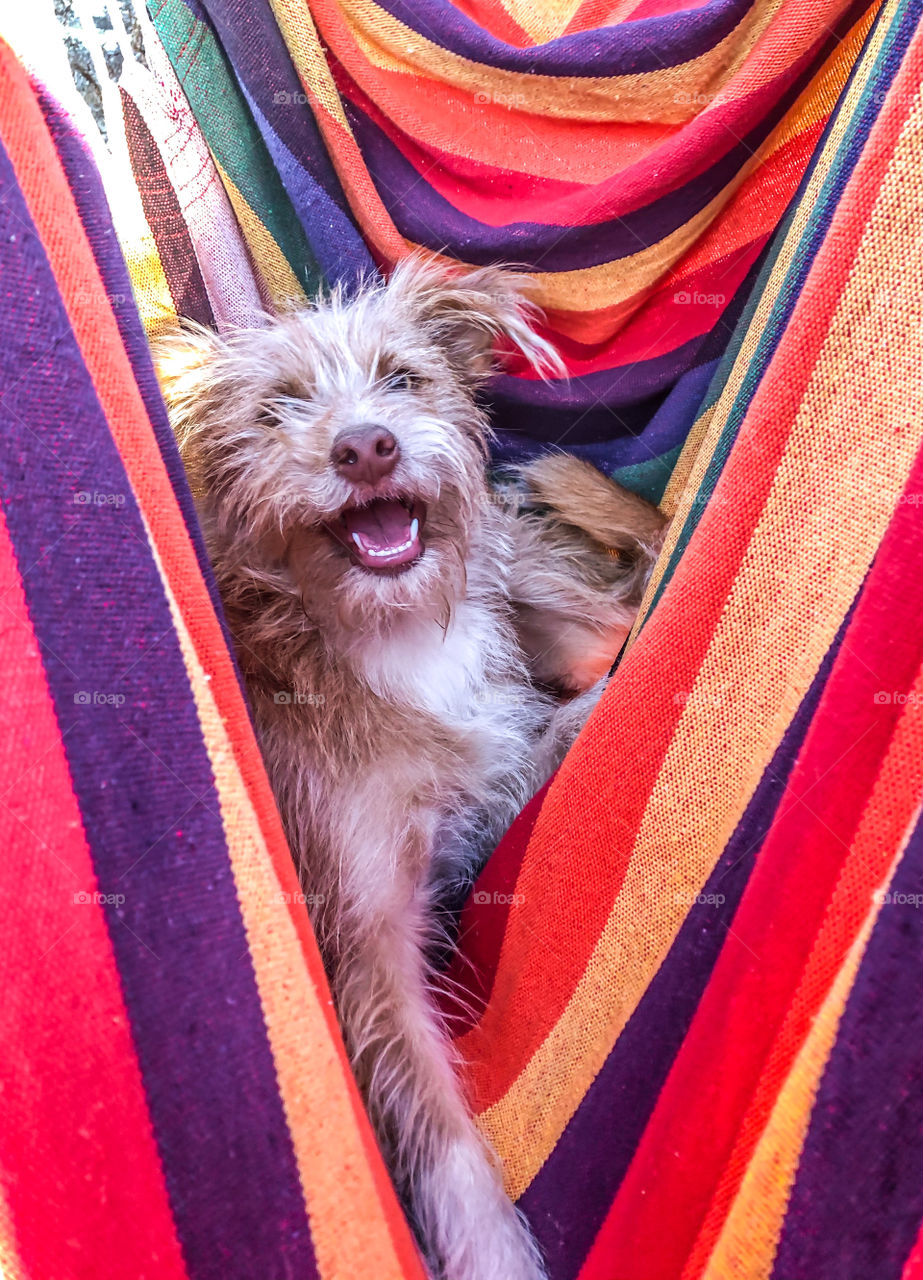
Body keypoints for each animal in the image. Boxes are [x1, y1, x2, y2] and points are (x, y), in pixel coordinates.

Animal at [156, 254, 660, 1274]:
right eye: (277, 409)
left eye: (402, 379)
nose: (366, 448)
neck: (392, 634)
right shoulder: (366, 935)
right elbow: (440, 1131)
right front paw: (492, 1251)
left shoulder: (495, 753)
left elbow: (557, 721)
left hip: (525, 566)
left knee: (620, 614)